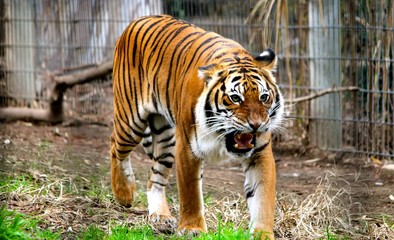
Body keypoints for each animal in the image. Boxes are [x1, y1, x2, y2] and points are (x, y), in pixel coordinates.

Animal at [109, 14, 284, 238]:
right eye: (235, 98)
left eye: (264, 97)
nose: (256, 125)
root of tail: (138, 19)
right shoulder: (187, 149)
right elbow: (190, 192)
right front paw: (192, 228)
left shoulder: (260, 153)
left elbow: (262, 196)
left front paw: (262, 233)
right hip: (131, 122)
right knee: (115, 145)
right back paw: (125, 193)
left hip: (165, 137)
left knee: (155, 177)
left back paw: (161, 217)